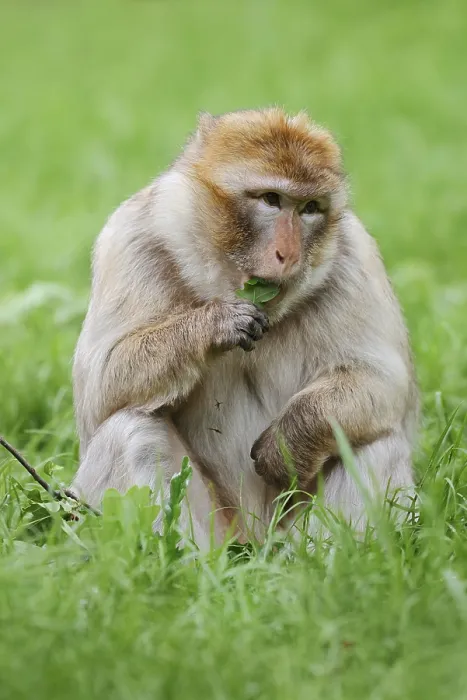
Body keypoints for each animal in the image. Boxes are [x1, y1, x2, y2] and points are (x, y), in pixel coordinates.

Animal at [71, 107, 418, 548]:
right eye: (271, 199)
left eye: (309, 207)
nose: (289, 255)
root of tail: (253, 536)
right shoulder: (133, 240)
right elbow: (100, 388)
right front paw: (216, 325)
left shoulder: (354, 257)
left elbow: (382, 380)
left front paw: (290, 442)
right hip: (219, 527)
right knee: (131, 430)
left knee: (375, 441)